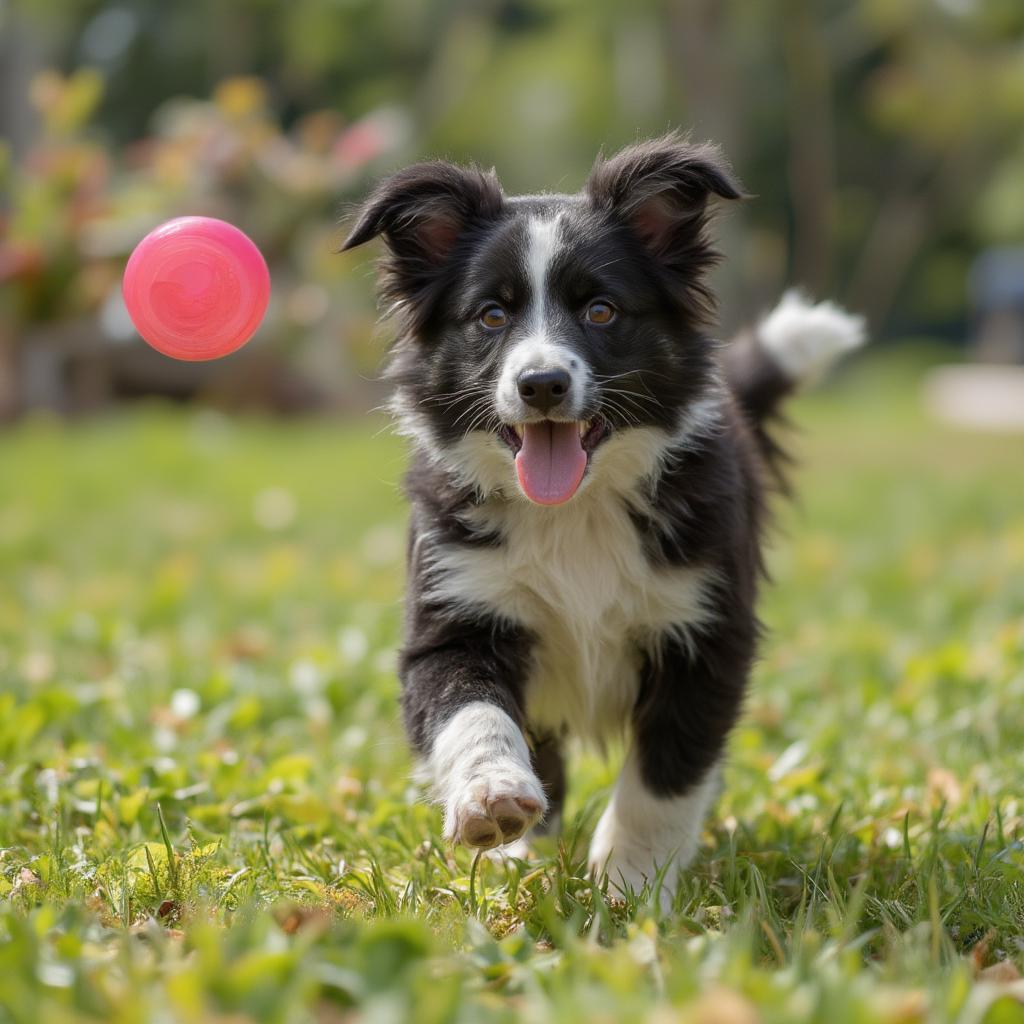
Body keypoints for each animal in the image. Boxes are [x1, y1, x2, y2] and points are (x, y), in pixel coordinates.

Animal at [344, 134, 864, 905]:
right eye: (491, 316)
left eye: (601, 311)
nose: (541, 385)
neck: (574, 513)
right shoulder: (453, 604)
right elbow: (472, 712)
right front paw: (493, 803)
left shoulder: (705, 630)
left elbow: (664, 775)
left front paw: (632, 887)